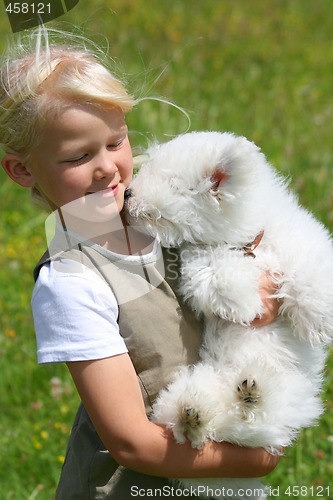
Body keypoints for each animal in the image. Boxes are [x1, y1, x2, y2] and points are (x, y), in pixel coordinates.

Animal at [126, 132, 330, 500]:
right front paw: (248, 299)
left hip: (289, 395)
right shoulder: (200, 264)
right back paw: (199, 414)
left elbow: (309, 276)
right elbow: (220, 274)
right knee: (205, 427)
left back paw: (248, 393)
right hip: (191, 393)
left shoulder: (305, 243)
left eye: (171, 182)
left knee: (255, 420)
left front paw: (316, 322)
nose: (127, 193)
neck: (246, 243)